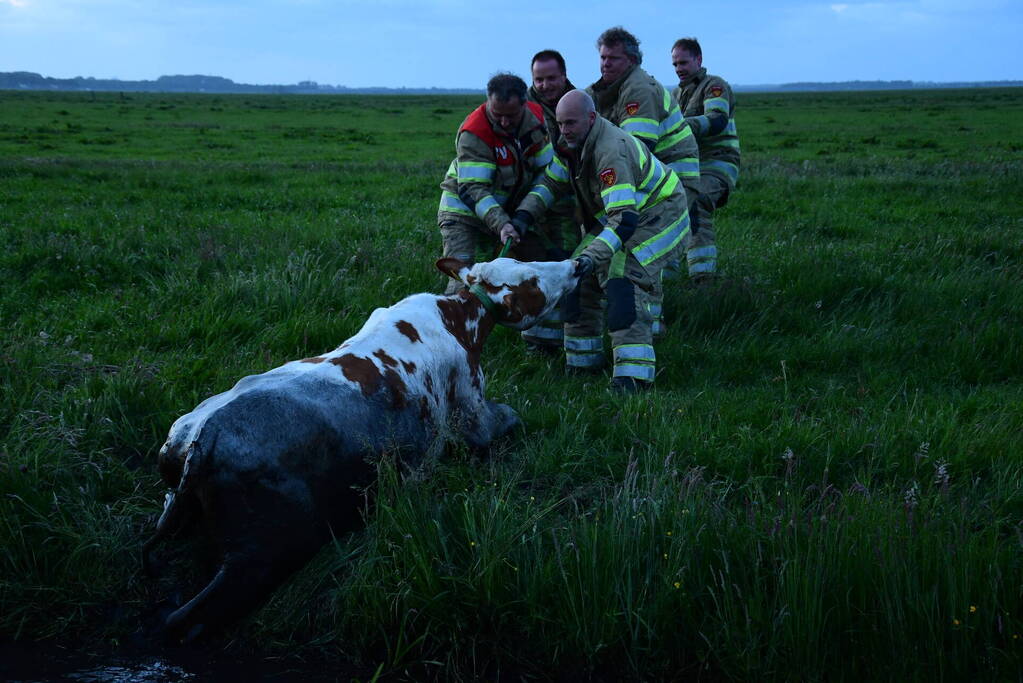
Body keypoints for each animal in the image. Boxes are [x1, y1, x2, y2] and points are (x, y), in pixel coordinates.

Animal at [143, 256, 582, 642]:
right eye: (530, 277)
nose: (578, 264)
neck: (459, 322)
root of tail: (200, 438)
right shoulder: (472, 412)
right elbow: (510, 419)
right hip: (261, 552)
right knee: (187, 620)